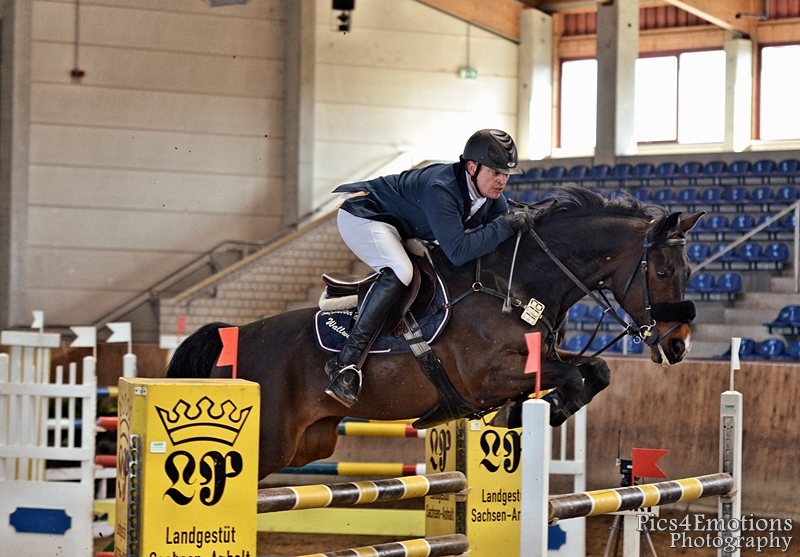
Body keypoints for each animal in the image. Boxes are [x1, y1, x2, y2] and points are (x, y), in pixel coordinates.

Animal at [167, 186, 700, 478]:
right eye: (663, 272)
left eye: (689, 270)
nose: (678, 345)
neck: (517, 282)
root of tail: (234, 335)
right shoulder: (486, 377)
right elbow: (577, 374)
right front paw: (544, 410)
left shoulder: (538, 360)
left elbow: (597, 369)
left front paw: (534, 413)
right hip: (268, 443)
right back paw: (344, 375)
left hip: (308, 443)